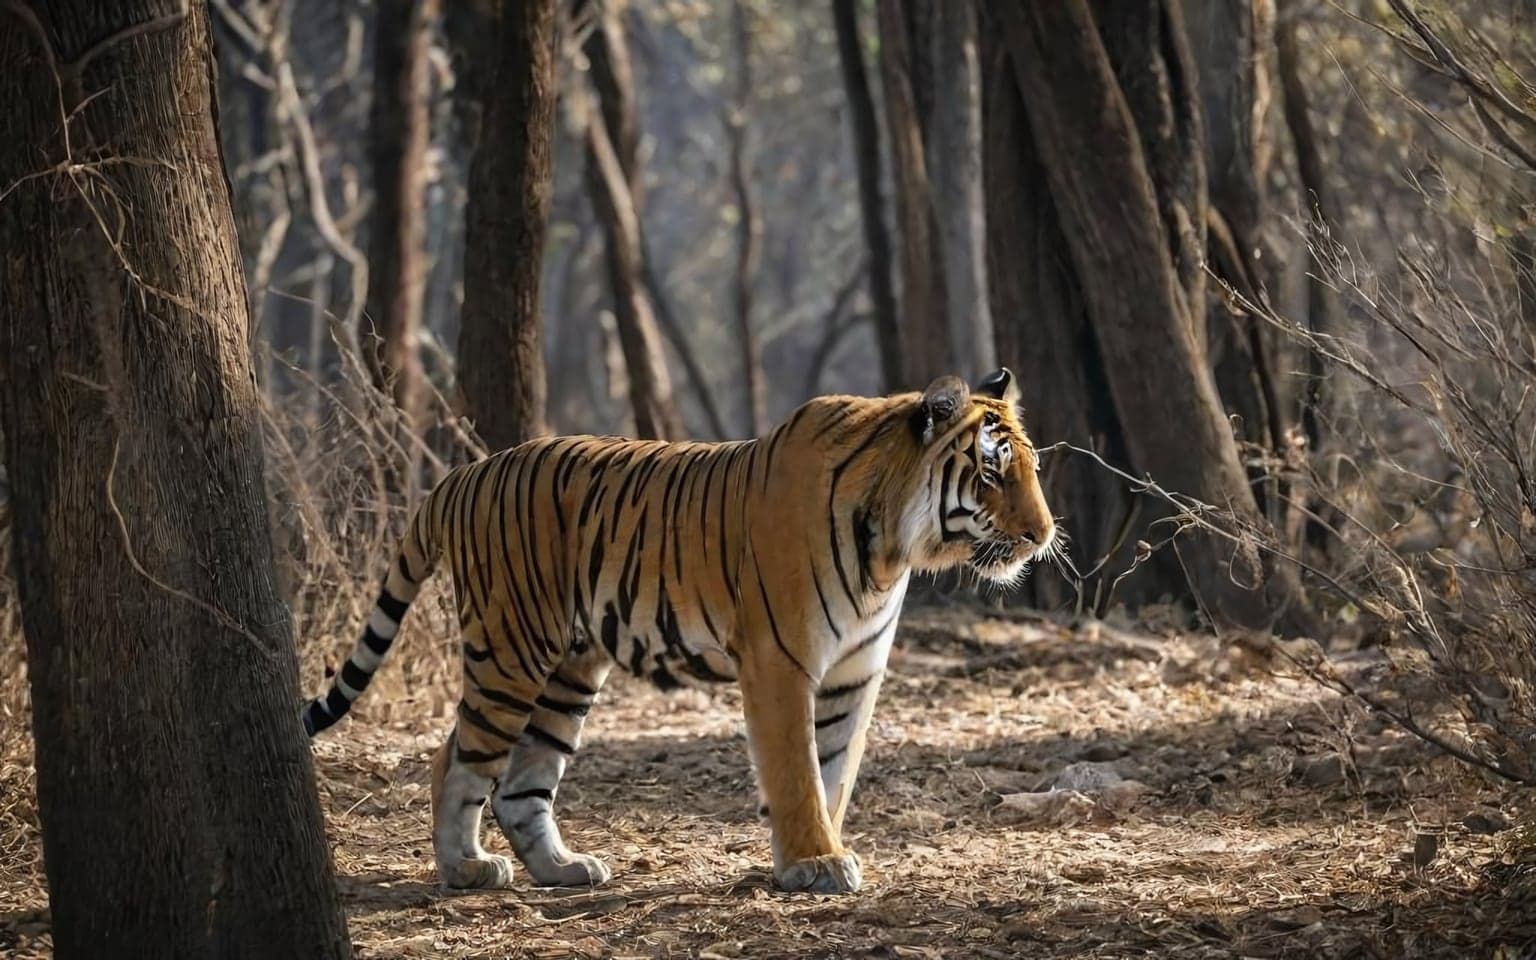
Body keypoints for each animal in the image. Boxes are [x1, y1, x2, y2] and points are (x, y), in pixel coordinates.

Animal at [302, 368, 1056, 894]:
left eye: (1033, 468)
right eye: (991, 473)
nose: (1043, 536)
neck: (893, 549)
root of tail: (464, 474)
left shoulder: (855, 673)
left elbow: (835, 769)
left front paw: (822, 851)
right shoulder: (781, 661)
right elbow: (797, 770)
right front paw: (814, 862)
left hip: (568, 670)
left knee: (520, 781)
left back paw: (563, 867)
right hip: (511, 650)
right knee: (455, 757)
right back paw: (464, 869)